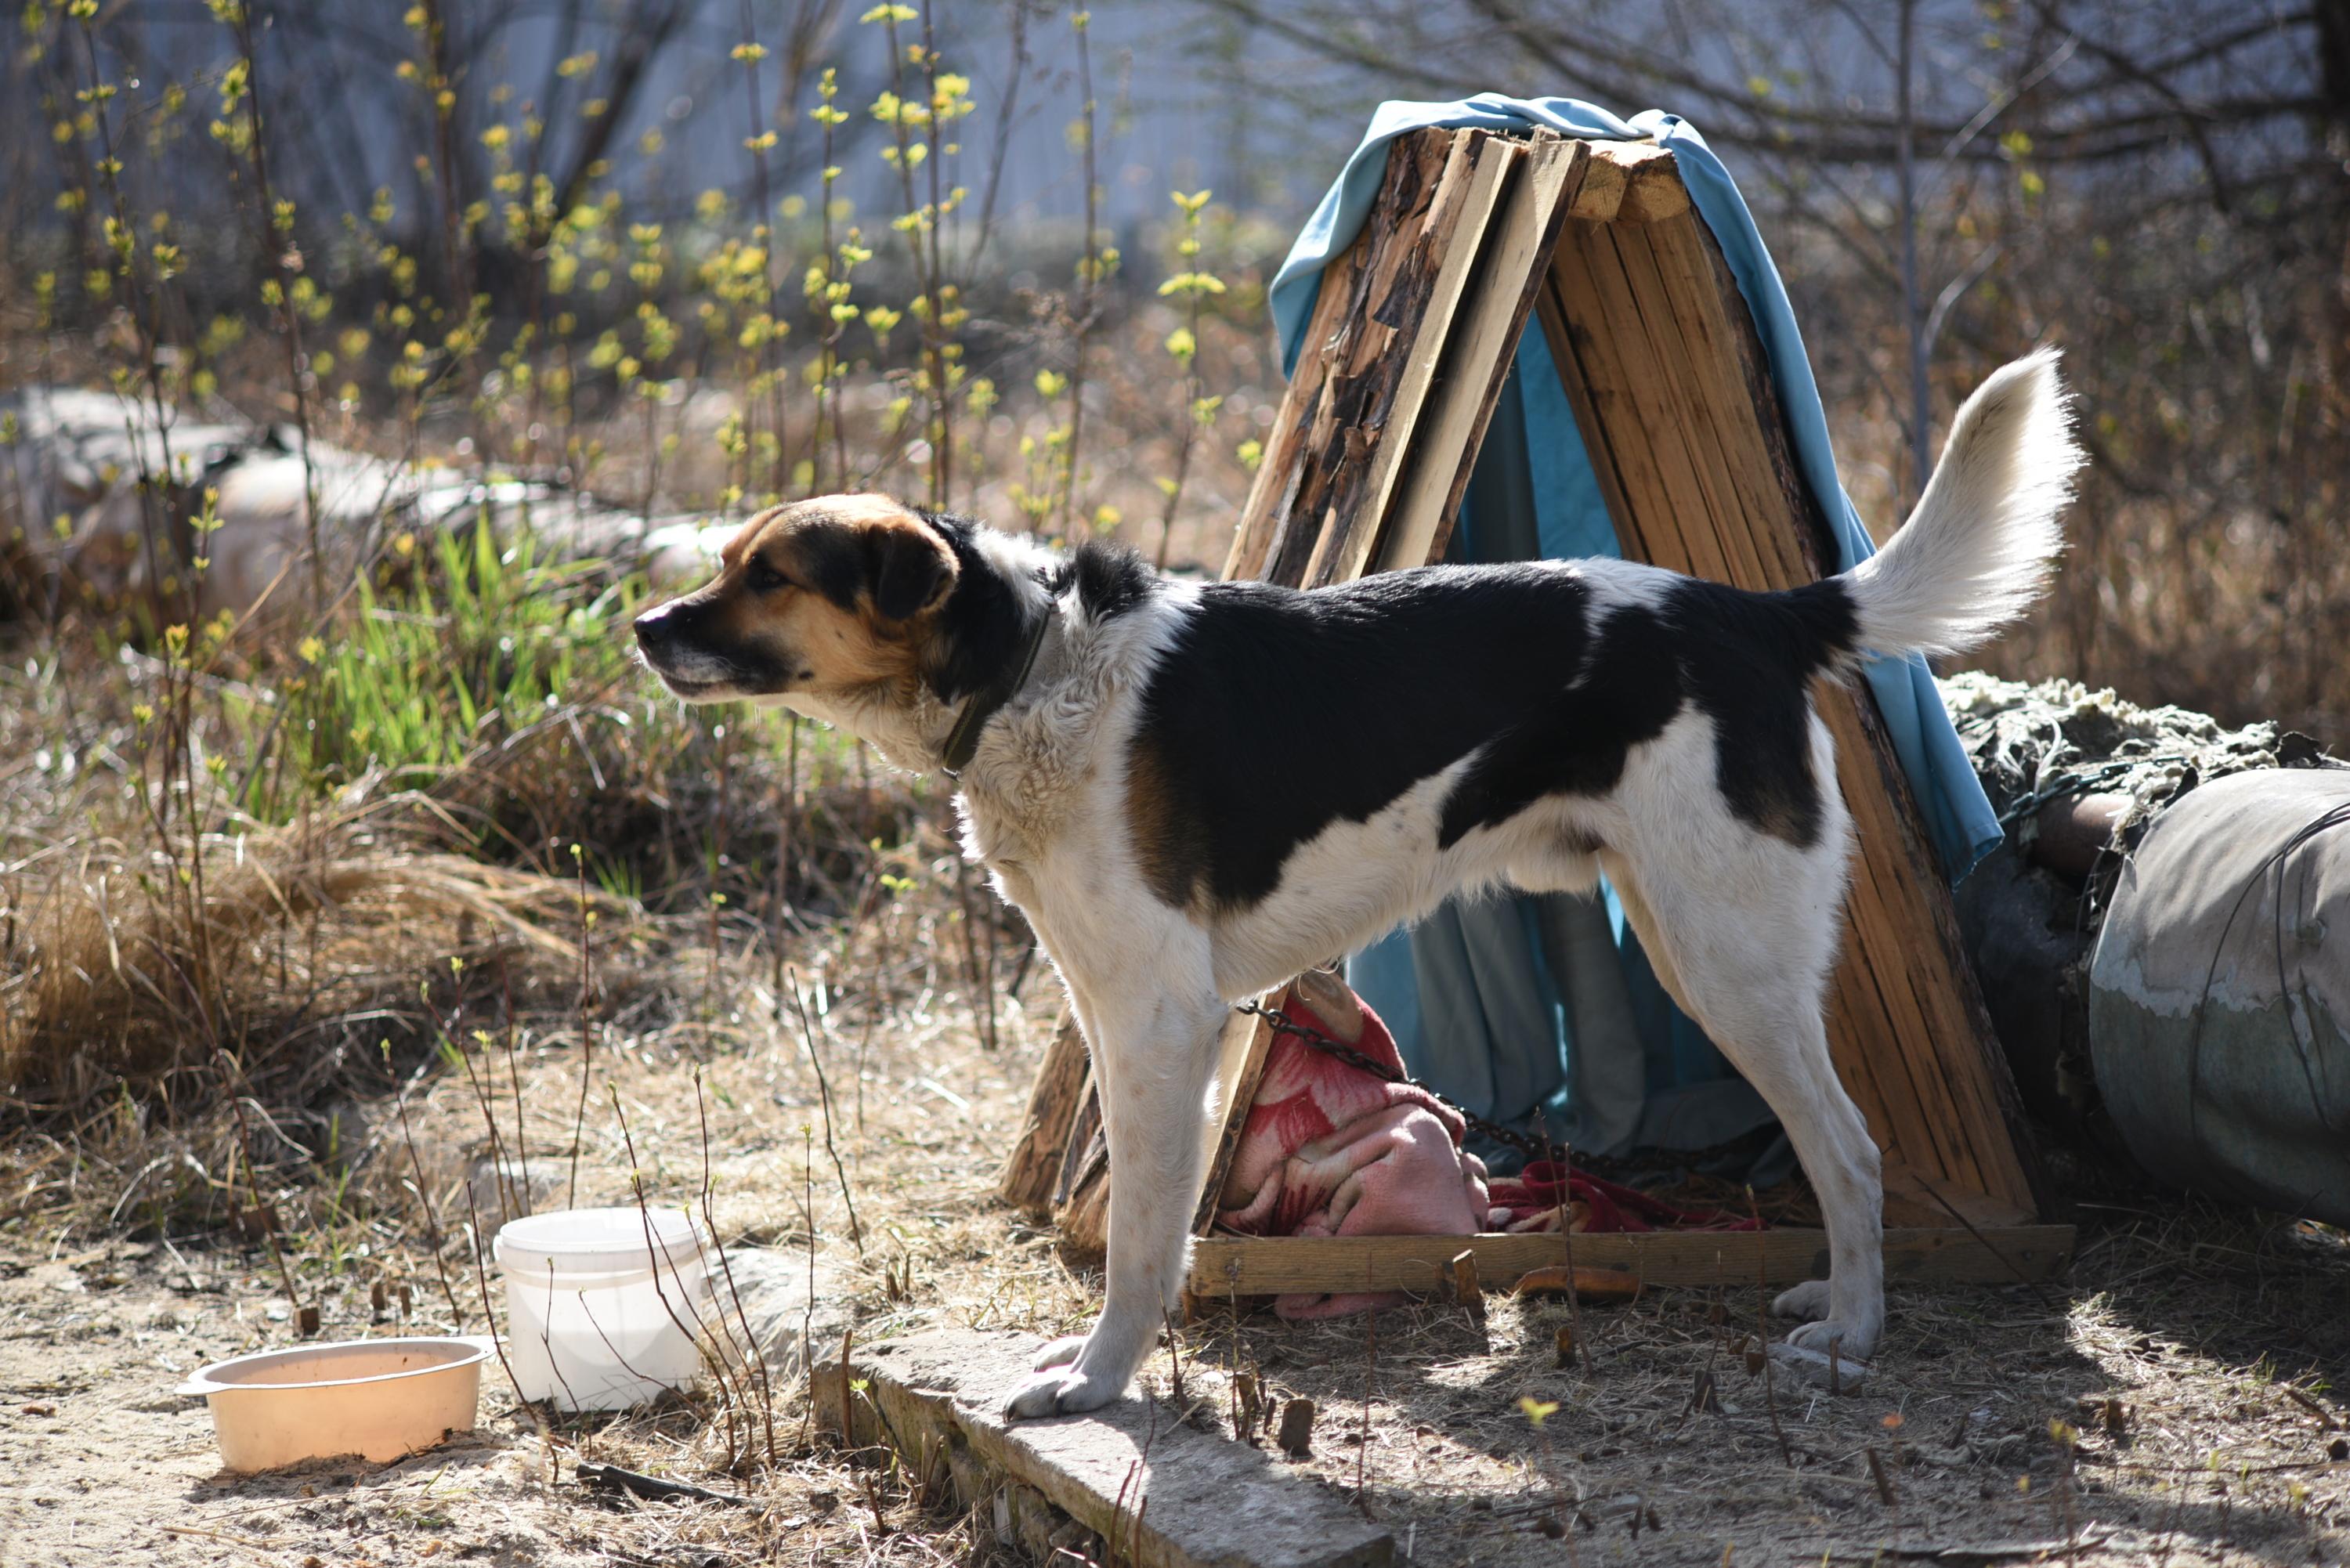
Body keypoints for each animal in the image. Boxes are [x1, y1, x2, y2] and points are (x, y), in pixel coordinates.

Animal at [639, 350, 2077, 1419]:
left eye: (769, 574)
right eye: (724, 559)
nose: (643, 628)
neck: (1027, 668)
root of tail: (1754, 610)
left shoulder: (1162, 1021)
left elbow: (1141, 1237)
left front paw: (1098, 1382)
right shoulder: (1118, 1010)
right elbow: (1150, 1224)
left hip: (1733, 962)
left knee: (1850, 1149)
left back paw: (1853, 1339)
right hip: (1690, 939)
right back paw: (1836, 1307)